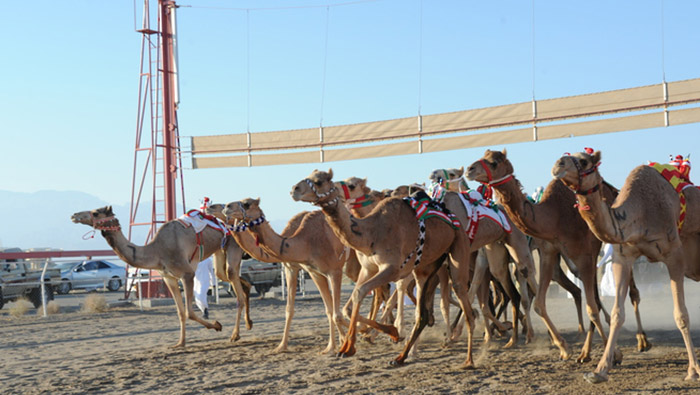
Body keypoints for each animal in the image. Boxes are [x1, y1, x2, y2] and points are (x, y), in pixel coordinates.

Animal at [71, 206, 224, 348]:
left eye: (96, 212)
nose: (74, 215)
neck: (157, 251)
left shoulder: (187, 274)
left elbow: (189, 313)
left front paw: (217, 325)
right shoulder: (169, 278)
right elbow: (180, 312)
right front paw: (180, 343)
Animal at [290, 169, 476, 368]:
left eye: (318, 181)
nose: (294, 189)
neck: (371, 232)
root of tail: (454, 219)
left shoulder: (393, 269)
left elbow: (361, 292)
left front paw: (349, 348)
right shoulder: (368, 268)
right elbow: (353, 300)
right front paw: (388, 333)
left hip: (459, 247)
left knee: (464, 301)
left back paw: (469, 359)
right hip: (426, 267)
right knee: (423, 313)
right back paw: (400, 357)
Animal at [464, 149, 652, 366]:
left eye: (493, 162)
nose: (469, 169)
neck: (554, 216)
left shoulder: (585, 254)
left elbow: (592, 308)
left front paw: (615, 354)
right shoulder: (549, 252)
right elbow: (540, 304)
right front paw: (564, 348)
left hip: (616, 243)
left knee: (630, 292)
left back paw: (642, 341)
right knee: (592, 294)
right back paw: (585, 352)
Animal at [552, 149, 700, 384]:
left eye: (584, 161)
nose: (558, 164)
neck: (638, 213)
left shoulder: (674, 254)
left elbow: (681, 314)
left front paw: (693, 370)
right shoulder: (623, 256)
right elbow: (616, 314)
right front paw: (599, 370)